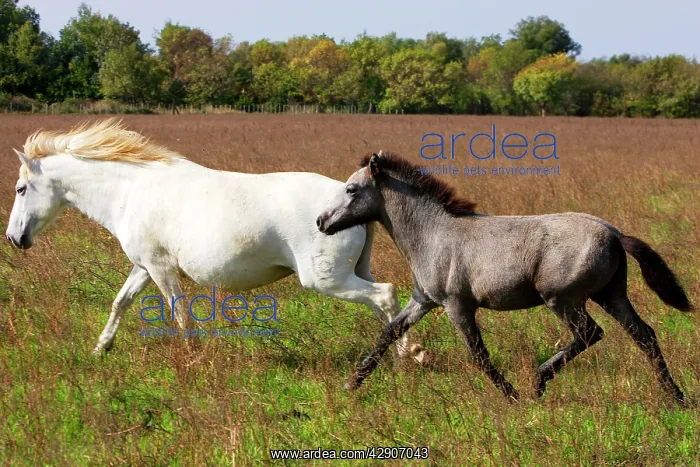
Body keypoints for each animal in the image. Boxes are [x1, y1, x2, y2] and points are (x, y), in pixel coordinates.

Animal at [4, 120, 424, 361]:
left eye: (21, 189)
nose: (13, 238)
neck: (132, 190)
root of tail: (351, 200)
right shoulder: (145, 266)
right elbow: (120, 303)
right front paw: (100, 349)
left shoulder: (161, 269)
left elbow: (179, 313)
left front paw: (192, 358)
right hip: (351, 274)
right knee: (384, 306)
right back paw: (403, 355)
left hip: (326, 280)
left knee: (385, 295)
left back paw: (411, 357)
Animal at [316, 151, 693, 404]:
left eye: (351, 190)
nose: (322, 221)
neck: (433, 234)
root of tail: (614, 233)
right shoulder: (423, 300)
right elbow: (389, 332)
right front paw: (352, 383)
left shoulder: (457, 306)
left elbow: (478, 354)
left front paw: (512, 395)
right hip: (612, 296)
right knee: (644, 335)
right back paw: (675, 396)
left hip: (563, 299)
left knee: (590, 333)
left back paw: (539, 382)